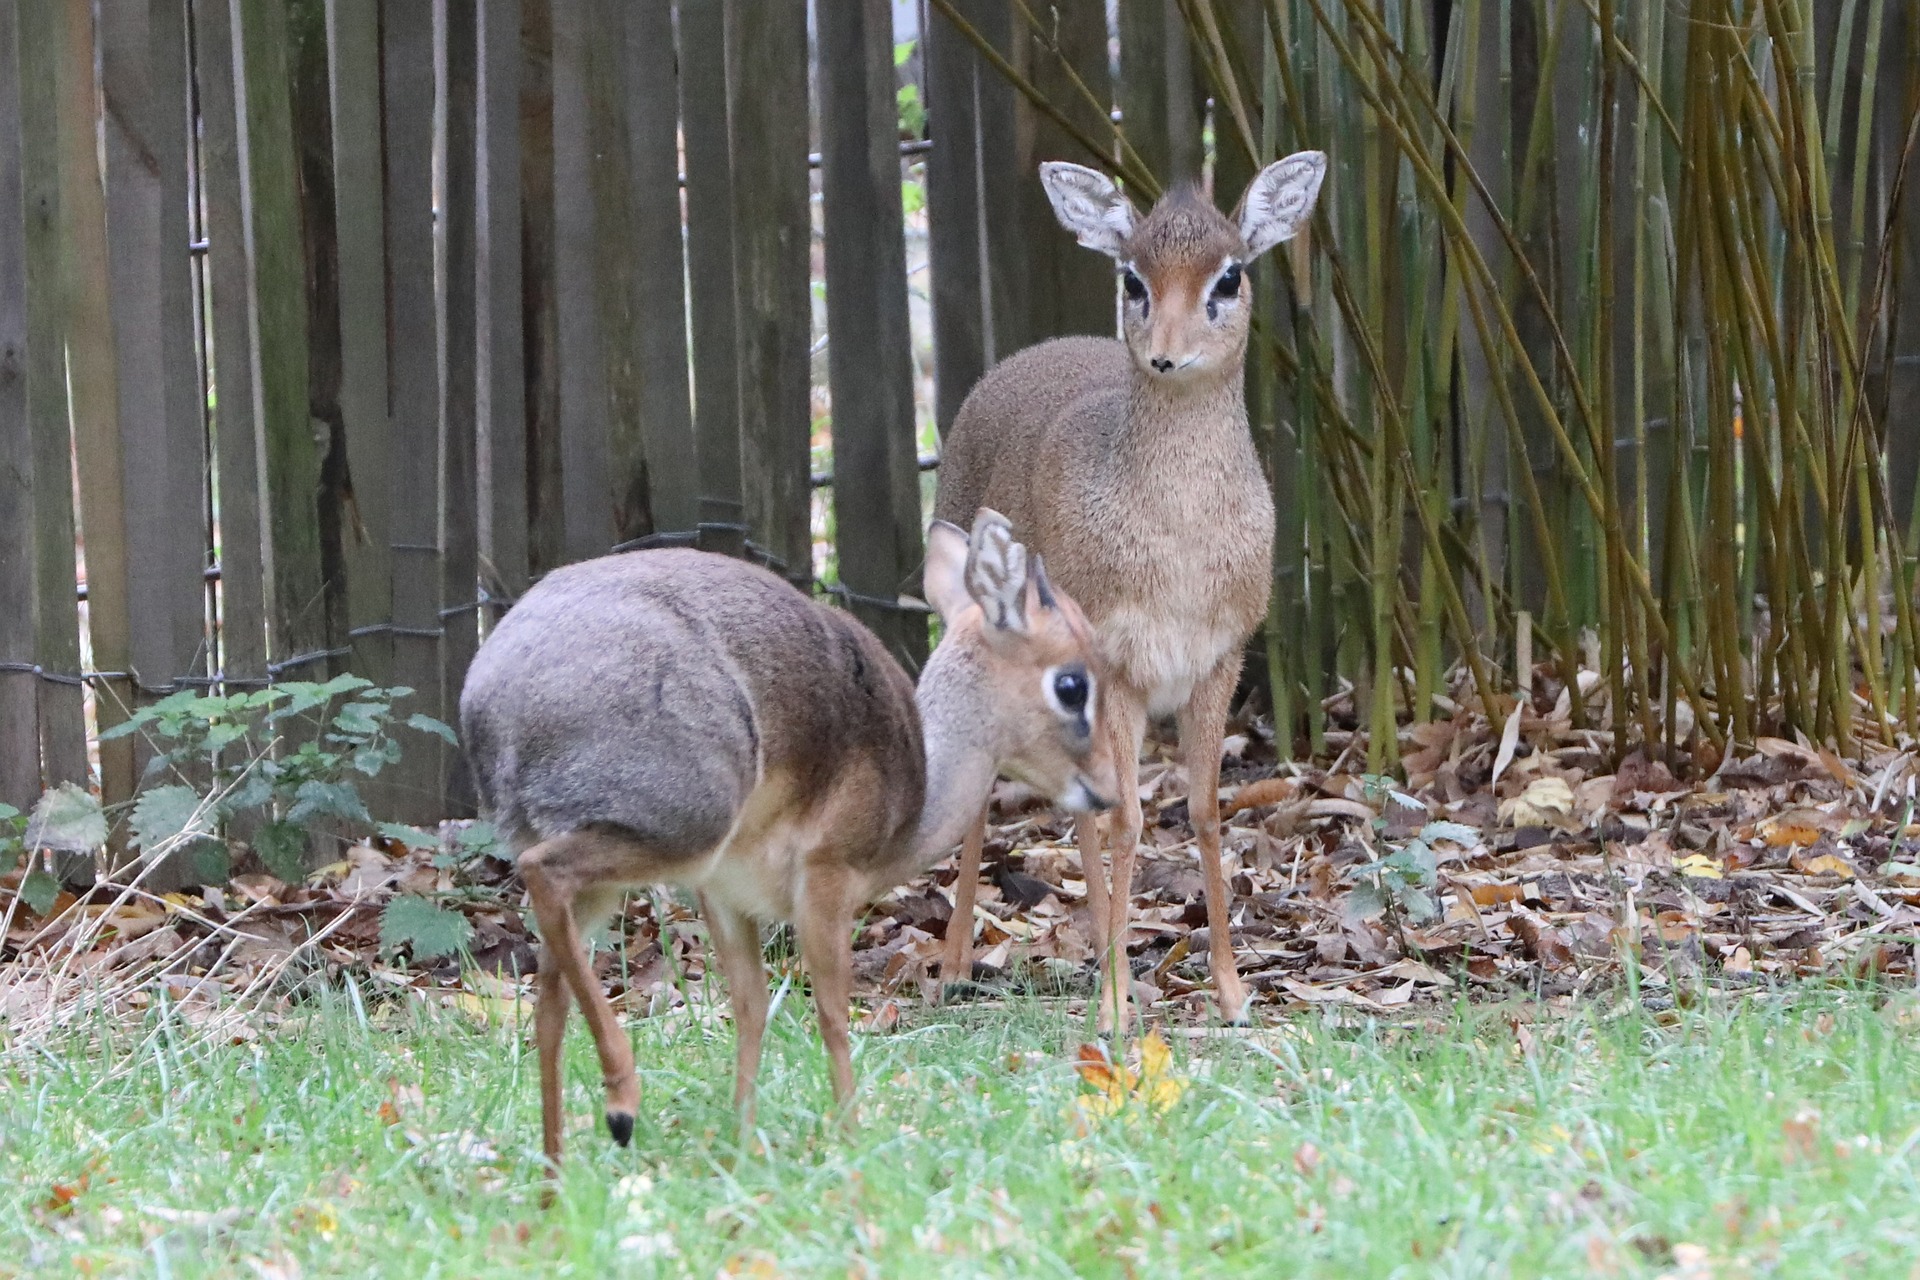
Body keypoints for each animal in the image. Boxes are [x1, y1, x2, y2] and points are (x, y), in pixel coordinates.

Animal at [460, 514, 1113, 1174]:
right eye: (1071, 683)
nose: (1105, 790)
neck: (912, 806)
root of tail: (489, 699)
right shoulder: (825, 877)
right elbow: (832, 1013)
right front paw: (850, 1145)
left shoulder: (727, 896)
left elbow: (750, 1008)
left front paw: (743, 1148)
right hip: (680, 830)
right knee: (543, 874)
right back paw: (622, 1103)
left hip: (604, 878)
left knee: (548, 1009)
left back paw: (555, 1178)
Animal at [933, 152, 1328, 1028]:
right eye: (1132, 277)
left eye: (1229, 274)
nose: (1166, 355)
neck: (1177, 543)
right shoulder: (1115, 666)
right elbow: (1126, 820)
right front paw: (1116, 1003)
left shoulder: (1218, 661)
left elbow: (1205, 813)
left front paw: (1230, 991)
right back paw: (954, 965)